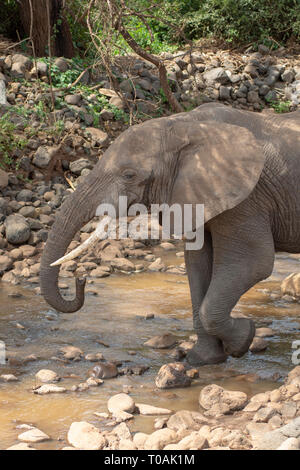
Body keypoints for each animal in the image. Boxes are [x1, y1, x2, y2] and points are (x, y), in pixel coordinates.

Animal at [39, 103, 300, 368]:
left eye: (129, 175)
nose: (80, 280)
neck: (183, 125)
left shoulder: (248, 198)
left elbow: (254, 263)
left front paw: (243, 339)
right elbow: (197, 264)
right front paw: (202, 360)